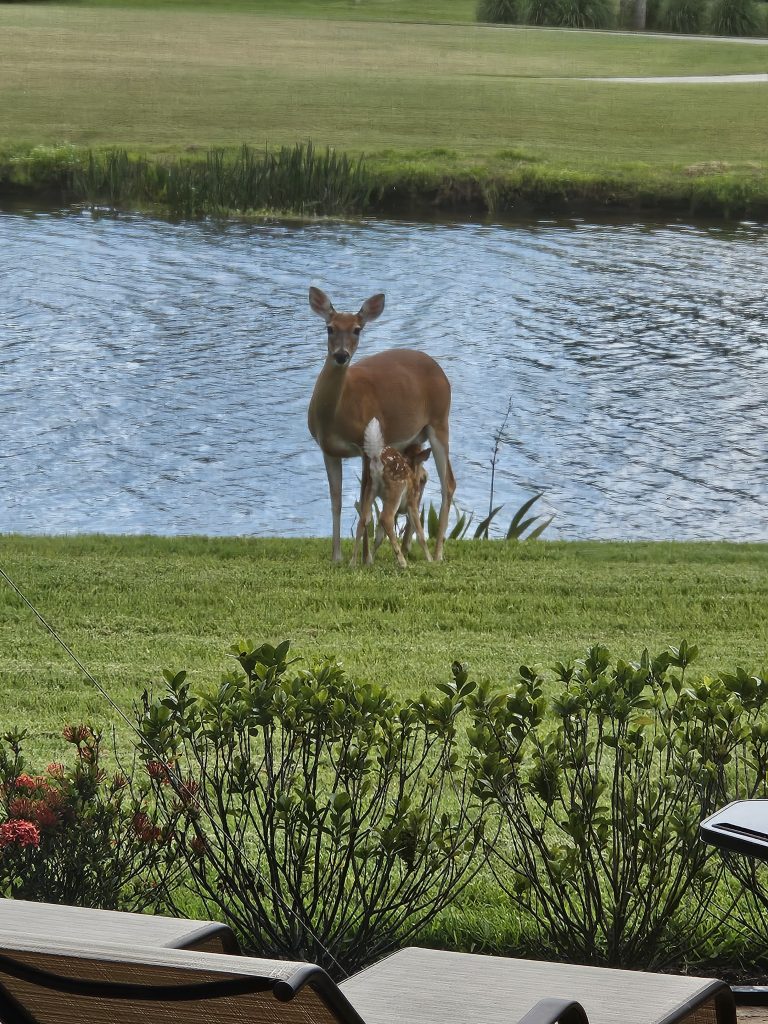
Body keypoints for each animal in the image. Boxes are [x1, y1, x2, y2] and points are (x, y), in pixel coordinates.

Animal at [351, 418, 432, 568]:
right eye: (423, 478)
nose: (425, 475)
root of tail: (377, 459)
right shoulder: (413, 502)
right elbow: (420, 533)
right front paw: (431, 559)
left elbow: (379, 537)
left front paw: (370, 560)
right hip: (396, 490)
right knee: (385, 518)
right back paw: (403, 562)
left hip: (370, 489)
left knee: (364, 519)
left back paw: (352, 562)